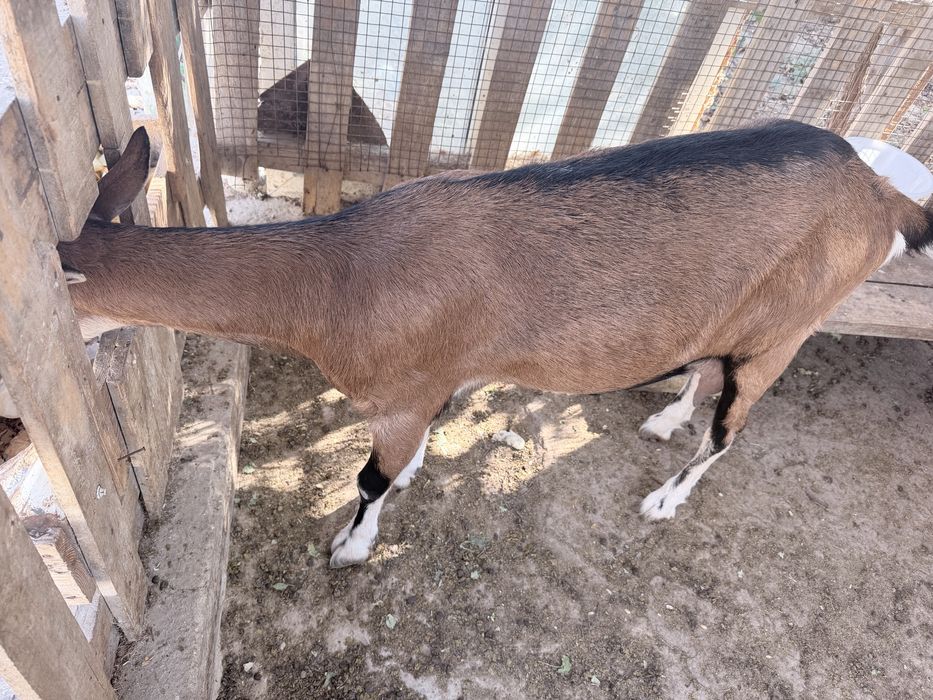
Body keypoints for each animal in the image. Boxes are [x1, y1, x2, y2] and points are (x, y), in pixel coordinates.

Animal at [58, 120, 933, 568]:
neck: (335, 278)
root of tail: (881, 194)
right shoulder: (431, 386)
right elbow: (404, 460)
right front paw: (409, 480)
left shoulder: (401, 392)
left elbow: (368, 479)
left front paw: (351, 546)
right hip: (739, 317)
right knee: (704, 372)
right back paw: (664, 419)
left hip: (788, 328)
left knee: (730, 429)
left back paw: (664, 496)